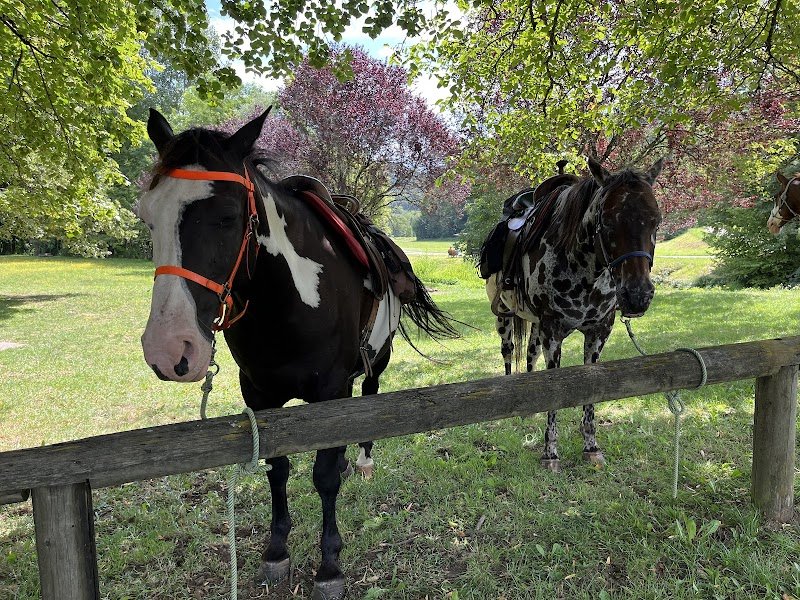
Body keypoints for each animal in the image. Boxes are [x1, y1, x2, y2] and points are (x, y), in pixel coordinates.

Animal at [136, 107, 457, 599]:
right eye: (148, 217)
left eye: (227, 217)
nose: (170, 349)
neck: (290, 300)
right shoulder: (260, 396)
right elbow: (278, 469)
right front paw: (276, 551)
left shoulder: (331, 390)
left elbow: (323, 478)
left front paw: (329, 566)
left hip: (374, 363)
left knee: (370, 398)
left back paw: (362, 461)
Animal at [485, 157, 663, 472]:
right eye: (607, 221)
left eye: (656, 219)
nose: (637, 295)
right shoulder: (553, 332)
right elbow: (553, 388)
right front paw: (551, 453)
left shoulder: (598, 333)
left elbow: (588, 389)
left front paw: (591, 447)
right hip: (504, 316)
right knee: (508, 352)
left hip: (534, 325)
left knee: (530, 355)